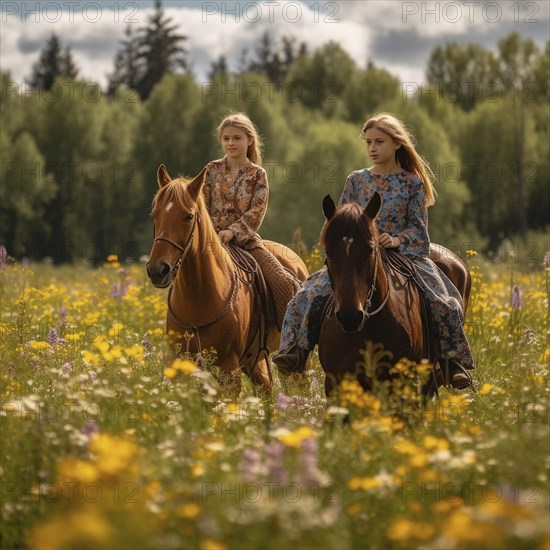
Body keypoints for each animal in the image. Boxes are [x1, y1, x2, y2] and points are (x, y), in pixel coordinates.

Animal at [147, 165, 310, 396]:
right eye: (155, 214)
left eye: (189, 216)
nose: (157, 270)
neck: (200, 297)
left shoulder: (229, 369)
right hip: (255, 361)